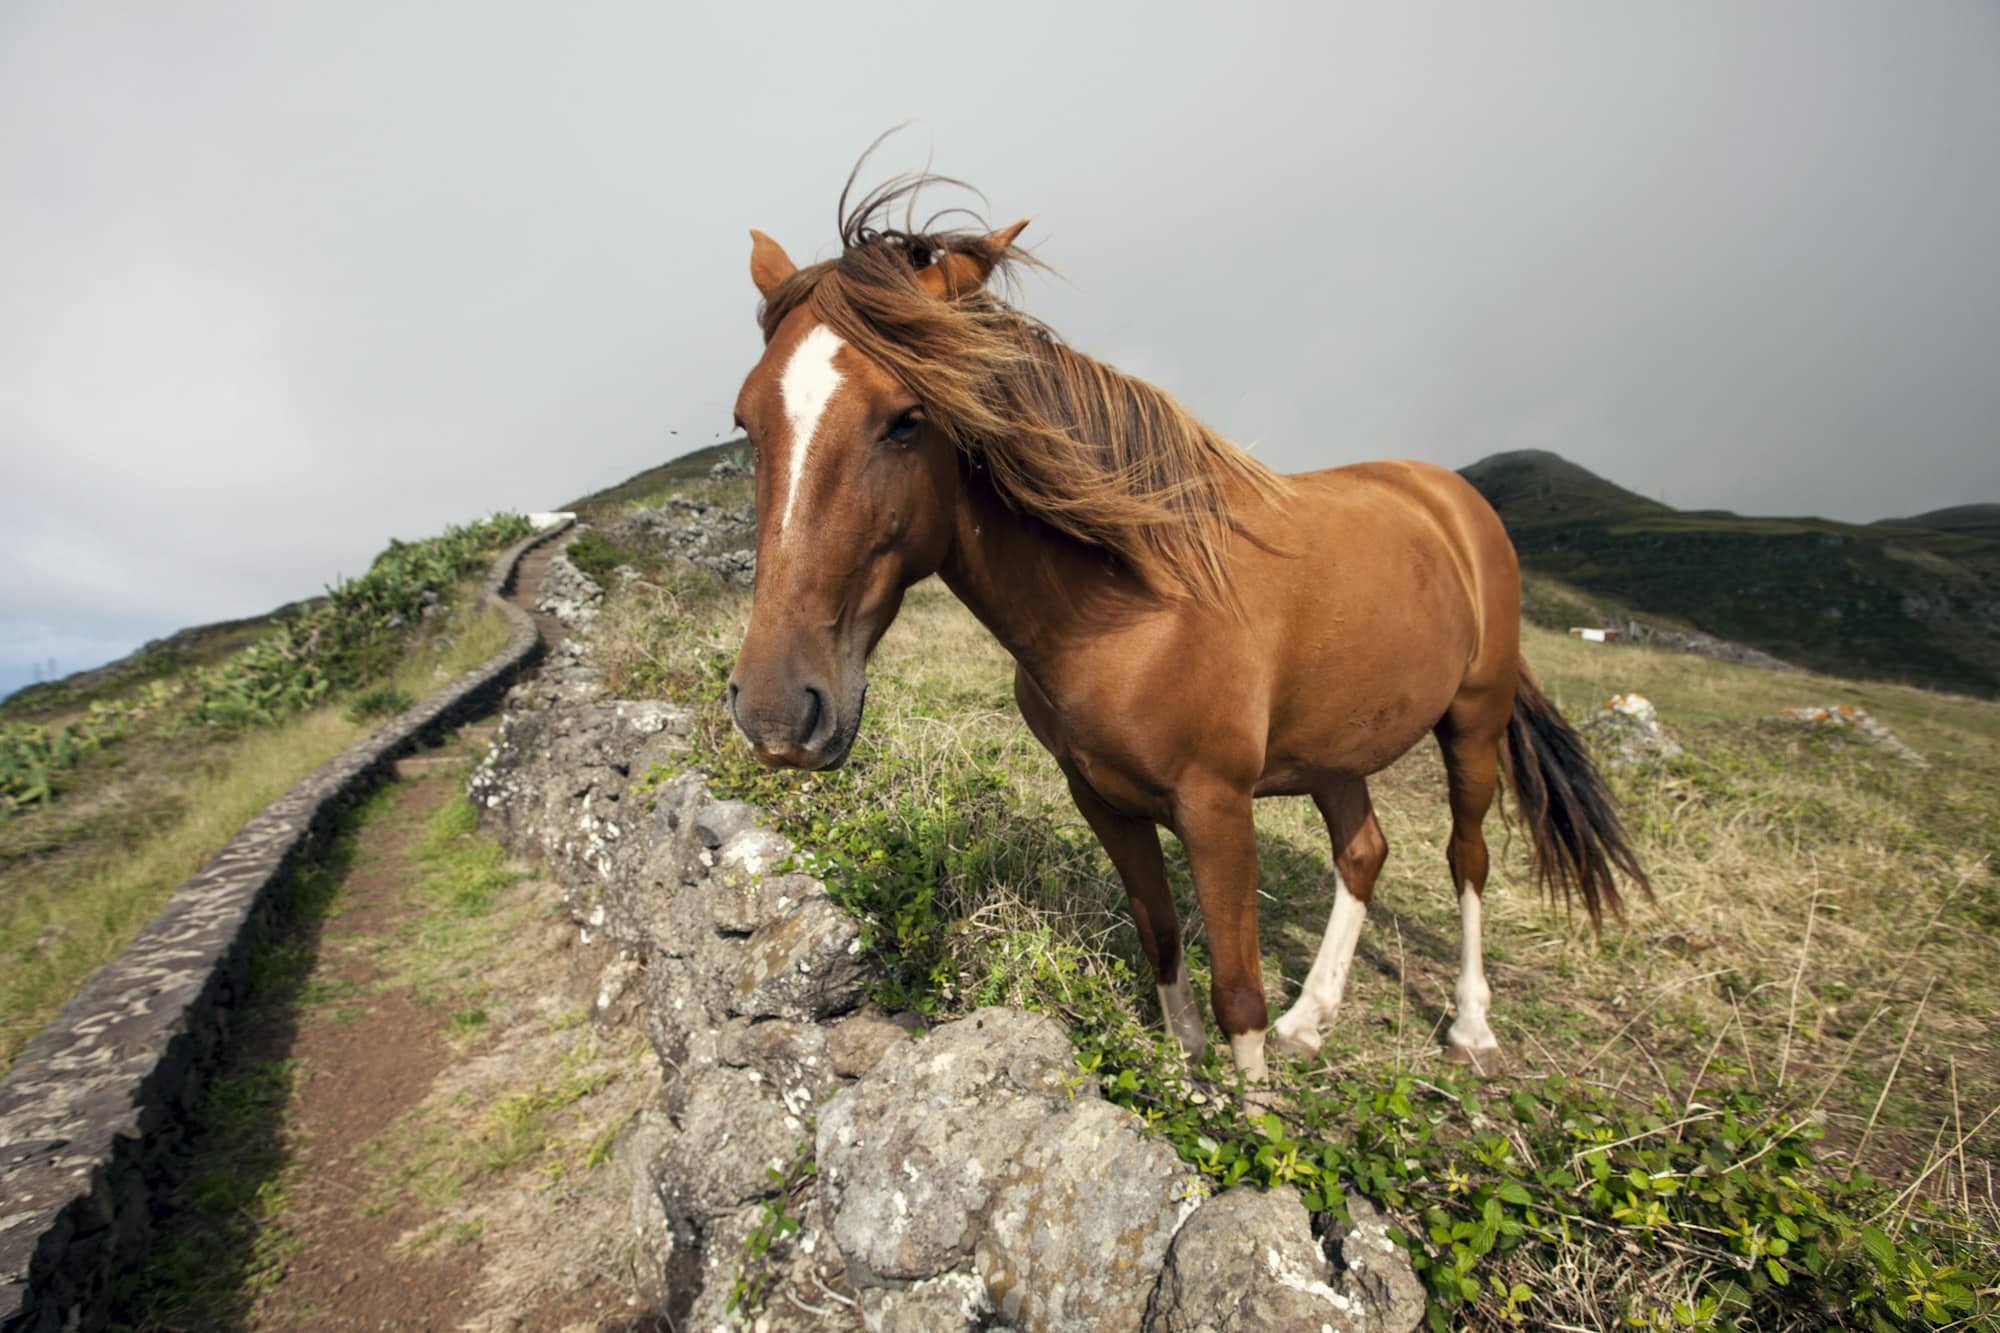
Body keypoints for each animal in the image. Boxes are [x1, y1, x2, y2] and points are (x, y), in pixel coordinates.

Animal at [728, 174, 1648, 1080]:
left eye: (907, 418)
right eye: (746, 421)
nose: (775, 710)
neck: (1132, 605)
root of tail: (1450, 497)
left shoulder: (1217, 807)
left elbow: (1238, 994)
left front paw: (1255, 1110)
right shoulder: (1103, 799)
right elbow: (1165, 942)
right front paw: (1191, 1079)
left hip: (1473, 724)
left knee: (1467, 859)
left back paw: (1471, 1028)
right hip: (1336, 747)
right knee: (1363, 851)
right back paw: (1312, 1019)